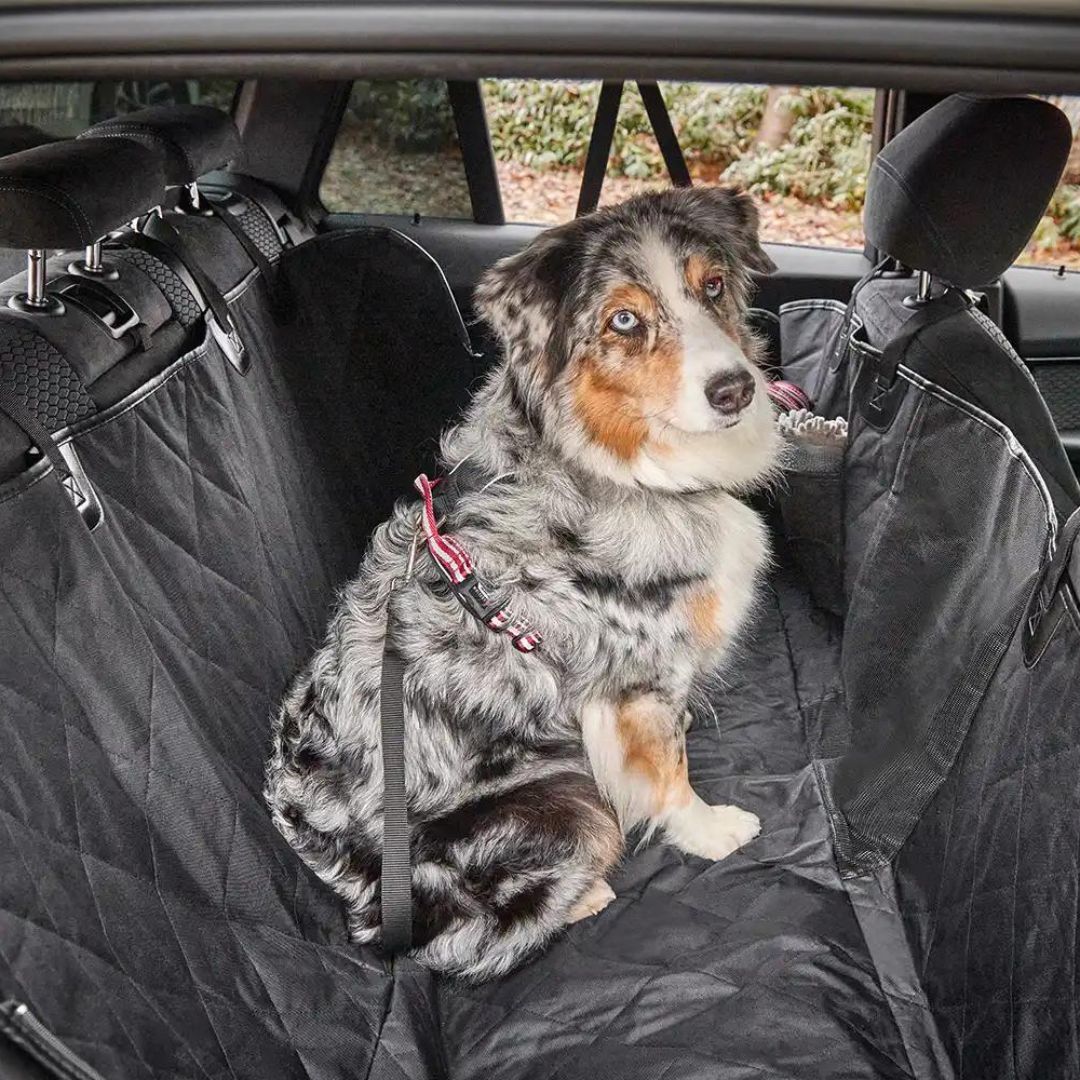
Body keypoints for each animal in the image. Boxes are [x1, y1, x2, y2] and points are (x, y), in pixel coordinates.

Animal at [265, 185, 781, 980]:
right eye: (623, 320)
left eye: (714, 285)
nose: (736, 390)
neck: (613, 468)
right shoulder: (631, 681)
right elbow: (666, 769)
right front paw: (709, 828)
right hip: (568, 807)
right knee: (472, 942)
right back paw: (588, 895)